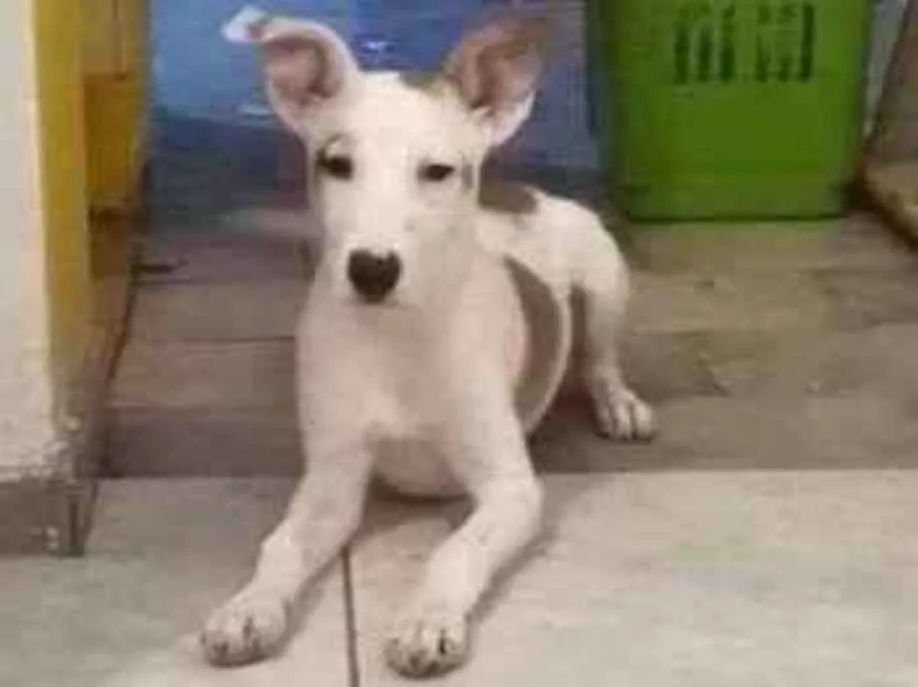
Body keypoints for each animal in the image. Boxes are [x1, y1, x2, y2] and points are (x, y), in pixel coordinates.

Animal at [201, 8, 655, 678]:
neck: (397, 336)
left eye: (438, 171)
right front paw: (249, 608)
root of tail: (518, 189)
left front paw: (425, 620)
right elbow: (280, 545)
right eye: (337, 164)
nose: (372, 270)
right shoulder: (331, 482)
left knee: (600, 357)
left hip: (603, 274)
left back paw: (619, 404)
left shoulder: (511, 488)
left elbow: (456, 551)